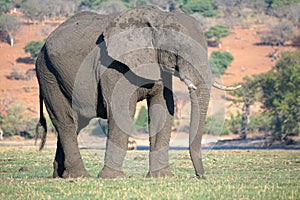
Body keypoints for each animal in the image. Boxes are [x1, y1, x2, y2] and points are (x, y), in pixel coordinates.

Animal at [35, 5, 240, 178]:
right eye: (176, 53)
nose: (201, 176)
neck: (160, 18)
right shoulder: (113, 65)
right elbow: (122, 111)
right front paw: (113, 178)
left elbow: (163, 110)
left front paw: (162, 177)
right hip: (48, 74)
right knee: (65, 121)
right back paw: (80, 176)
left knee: (77, 122)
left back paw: (61, 176)